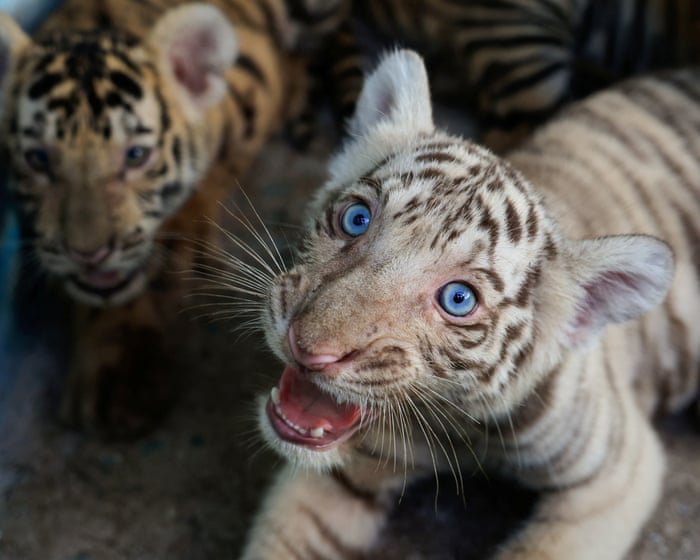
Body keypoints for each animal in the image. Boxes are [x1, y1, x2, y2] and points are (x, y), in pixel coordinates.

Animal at [238, 50, 699, 559]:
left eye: (458, 300)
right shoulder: (343, 472)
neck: (456, 424)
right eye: (356, 219)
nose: (306, 349)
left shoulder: (616, 473)